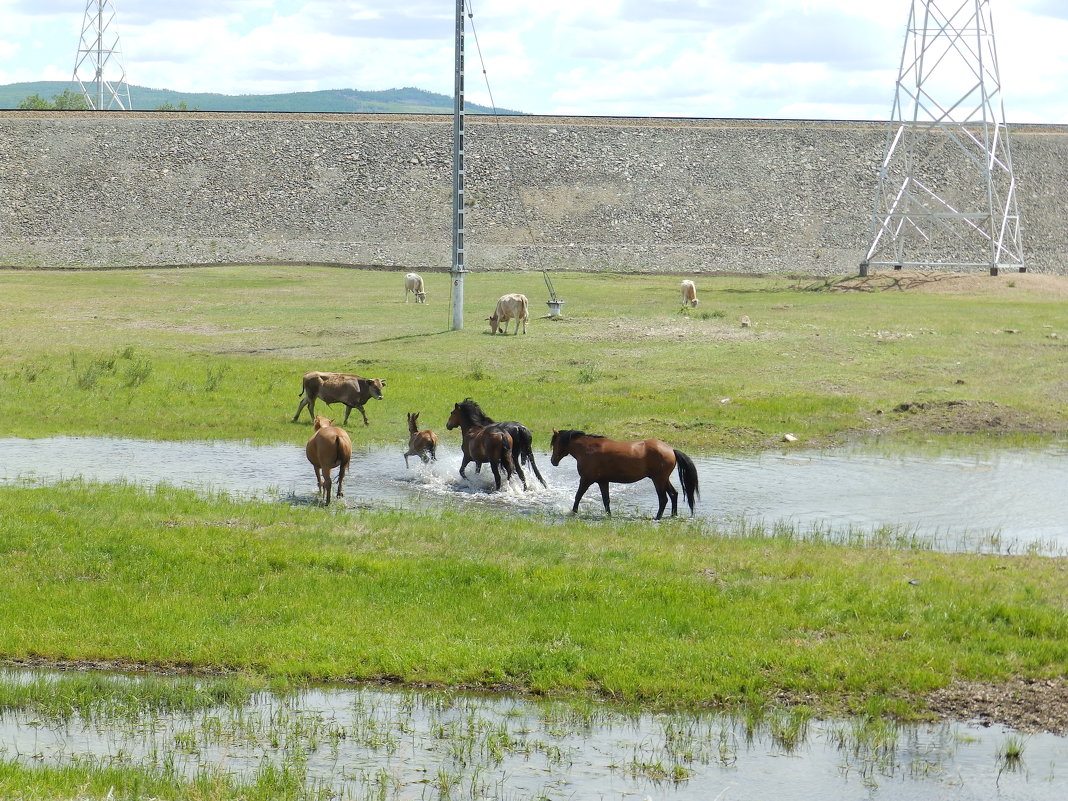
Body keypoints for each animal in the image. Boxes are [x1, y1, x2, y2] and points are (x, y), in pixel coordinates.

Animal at [551, 427, 700, 521]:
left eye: (554, 443)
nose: (553, 461)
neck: (588, 449)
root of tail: (671, 450)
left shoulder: (586, 479)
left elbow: (578, 496)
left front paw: (573, 512)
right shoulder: (602, 481)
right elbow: (606, 500)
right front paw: (609, 515)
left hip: (658, 480)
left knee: (663, 499)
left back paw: (657, 517)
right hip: (663, 479)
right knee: (674, 494)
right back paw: (673, 515)